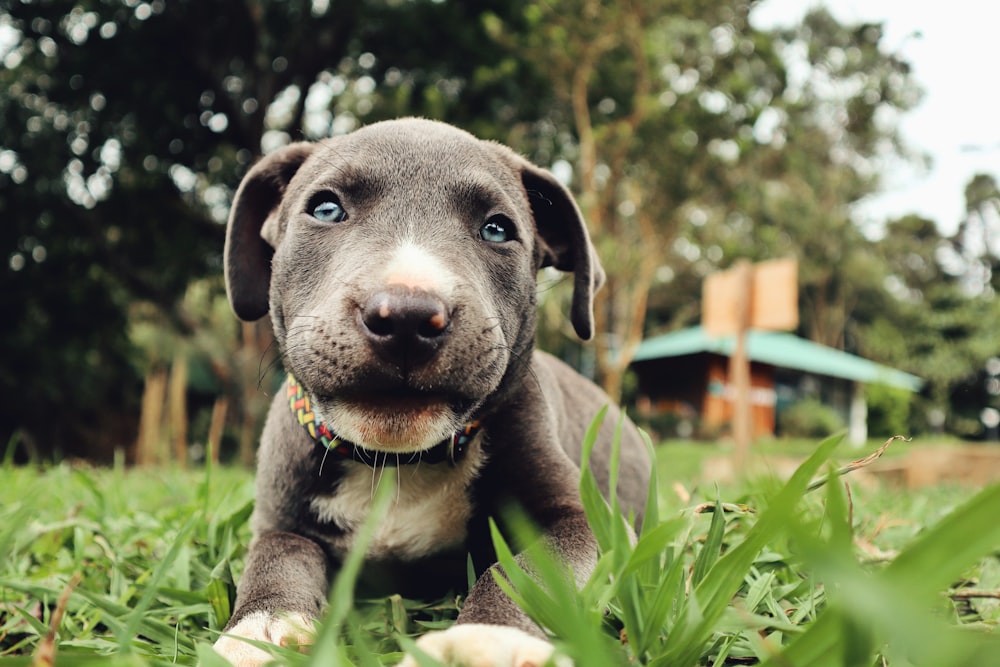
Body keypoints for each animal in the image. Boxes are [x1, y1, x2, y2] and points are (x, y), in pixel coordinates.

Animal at [213, 120, 648, 667]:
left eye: (497, 229)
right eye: (326, 209)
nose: (407, 316)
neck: (397, 460)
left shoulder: (584, 520)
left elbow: (526, 574)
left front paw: (485, 640)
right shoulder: (278, 520)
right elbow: (276, 555)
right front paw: (263, 628)